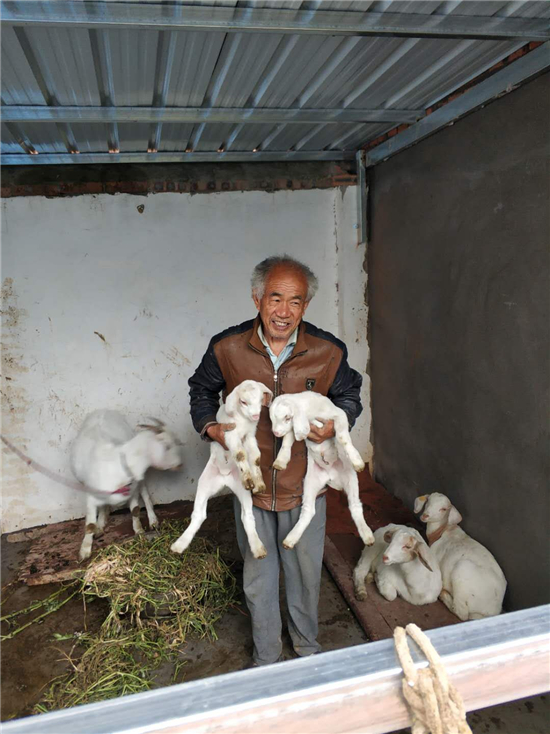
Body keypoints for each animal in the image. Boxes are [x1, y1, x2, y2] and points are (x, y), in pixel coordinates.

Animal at [71, 410, 183, 561]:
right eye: (169, 446)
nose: (180, 464)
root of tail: (103, 410)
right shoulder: (91, 496)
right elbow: (89, 524)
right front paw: (84, 550)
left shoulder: (133, 489)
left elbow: (135, 509)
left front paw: (139, 531)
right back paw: (101, 524)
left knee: (145, 494)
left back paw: (153, 520)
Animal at [171, 380, 273, 560]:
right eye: (243, 401)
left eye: (261, 399)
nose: (255, 416)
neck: (243, 421)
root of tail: (225, 479)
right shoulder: (229, 434)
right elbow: (240, 454)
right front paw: (249, 477)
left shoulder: (250, 436)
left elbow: (255, 457)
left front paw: (258, 483)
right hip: (205, 483)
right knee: (198, 514)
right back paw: (179, 545)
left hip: (241, 490)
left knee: (247, 516)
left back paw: (257, 548)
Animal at [269, 392, 374, 550]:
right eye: (271, 418)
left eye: (287, 417)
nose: (275, 432)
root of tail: (331, 477)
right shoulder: (295, 428)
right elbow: (287, 441)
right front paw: (281, 461)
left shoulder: (339, 414)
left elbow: (342, 437)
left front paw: (357, 461)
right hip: (310, 482)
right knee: (308, 510)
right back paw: (290, 539)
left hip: (350, 478)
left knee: (355, 506)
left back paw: (367, 535)